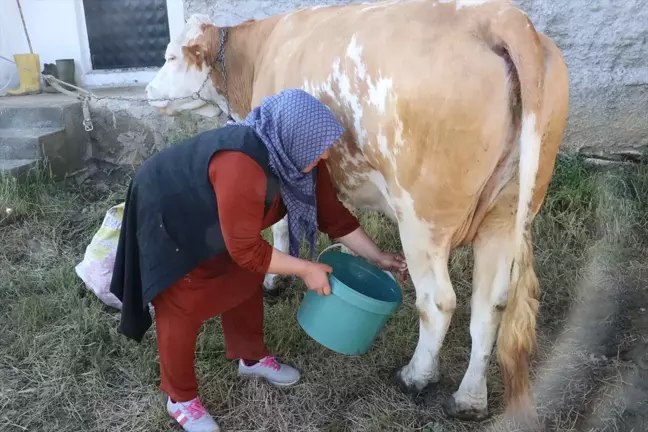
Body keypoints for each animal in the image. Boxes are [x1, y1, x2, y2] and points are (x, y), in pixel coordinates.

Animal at [146, 0, 568, 422]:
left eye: (170, 56)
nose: (148, 89)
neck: (256, 57)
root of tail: (498, 15)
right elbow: (339, 225)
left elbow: (280, 227)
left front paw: (273, 282)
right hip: (506, 213)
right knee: (489, 305)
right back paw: (468, 400)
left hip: (421, 219)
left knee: (438, 302)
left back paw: (415, 376)